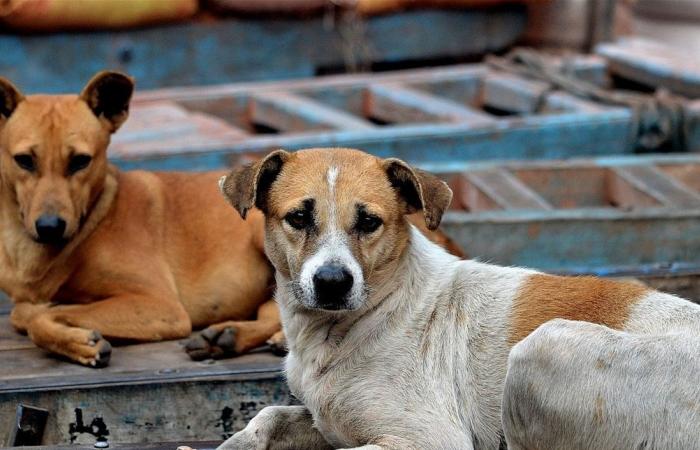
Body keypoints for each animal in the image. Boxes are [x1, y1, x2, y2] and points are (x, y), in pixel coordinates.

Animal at [1, 71, 464, 366]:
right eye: (24, 160)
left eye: (81, 161)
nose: (49, 227)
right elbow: (28, 310)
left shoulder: (160, 306)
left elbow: (31, 315)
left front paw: (78, 339)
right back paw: (229, 337)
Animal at [209, 149, 700, 450]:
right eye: (298, 218)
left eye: (369, 222)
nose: (332, 283)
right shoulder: (328, 423)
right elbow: (268, 416)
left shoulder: (428, 438)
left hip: (542, 349)